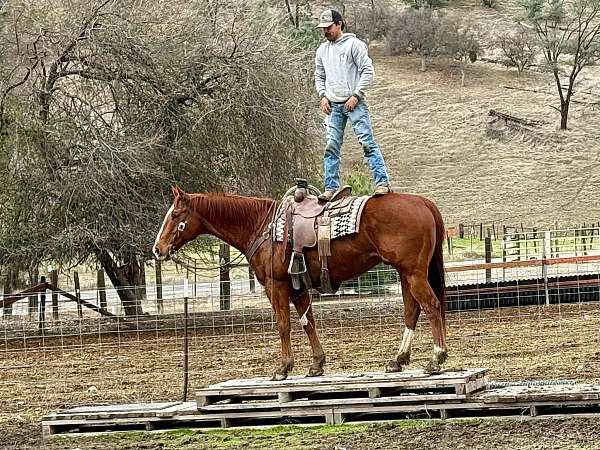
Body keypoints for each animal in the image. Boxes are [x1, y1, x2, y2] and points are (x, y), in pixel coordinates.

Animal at [152, 185, 448, 380]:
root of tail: (424, 202)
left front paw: (283, 368)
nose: (158, 249)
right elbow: (308, 323)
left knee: (432, 306)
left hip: (413, 273)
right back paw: (398, 360)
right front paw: (317, 364)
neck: (262, 226)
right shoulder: (298, 287)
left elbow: (284, 325)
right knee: (412, 310)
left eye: (175, 215)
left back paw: (436, 358)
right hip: (405, 273)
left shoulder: (276, 286)